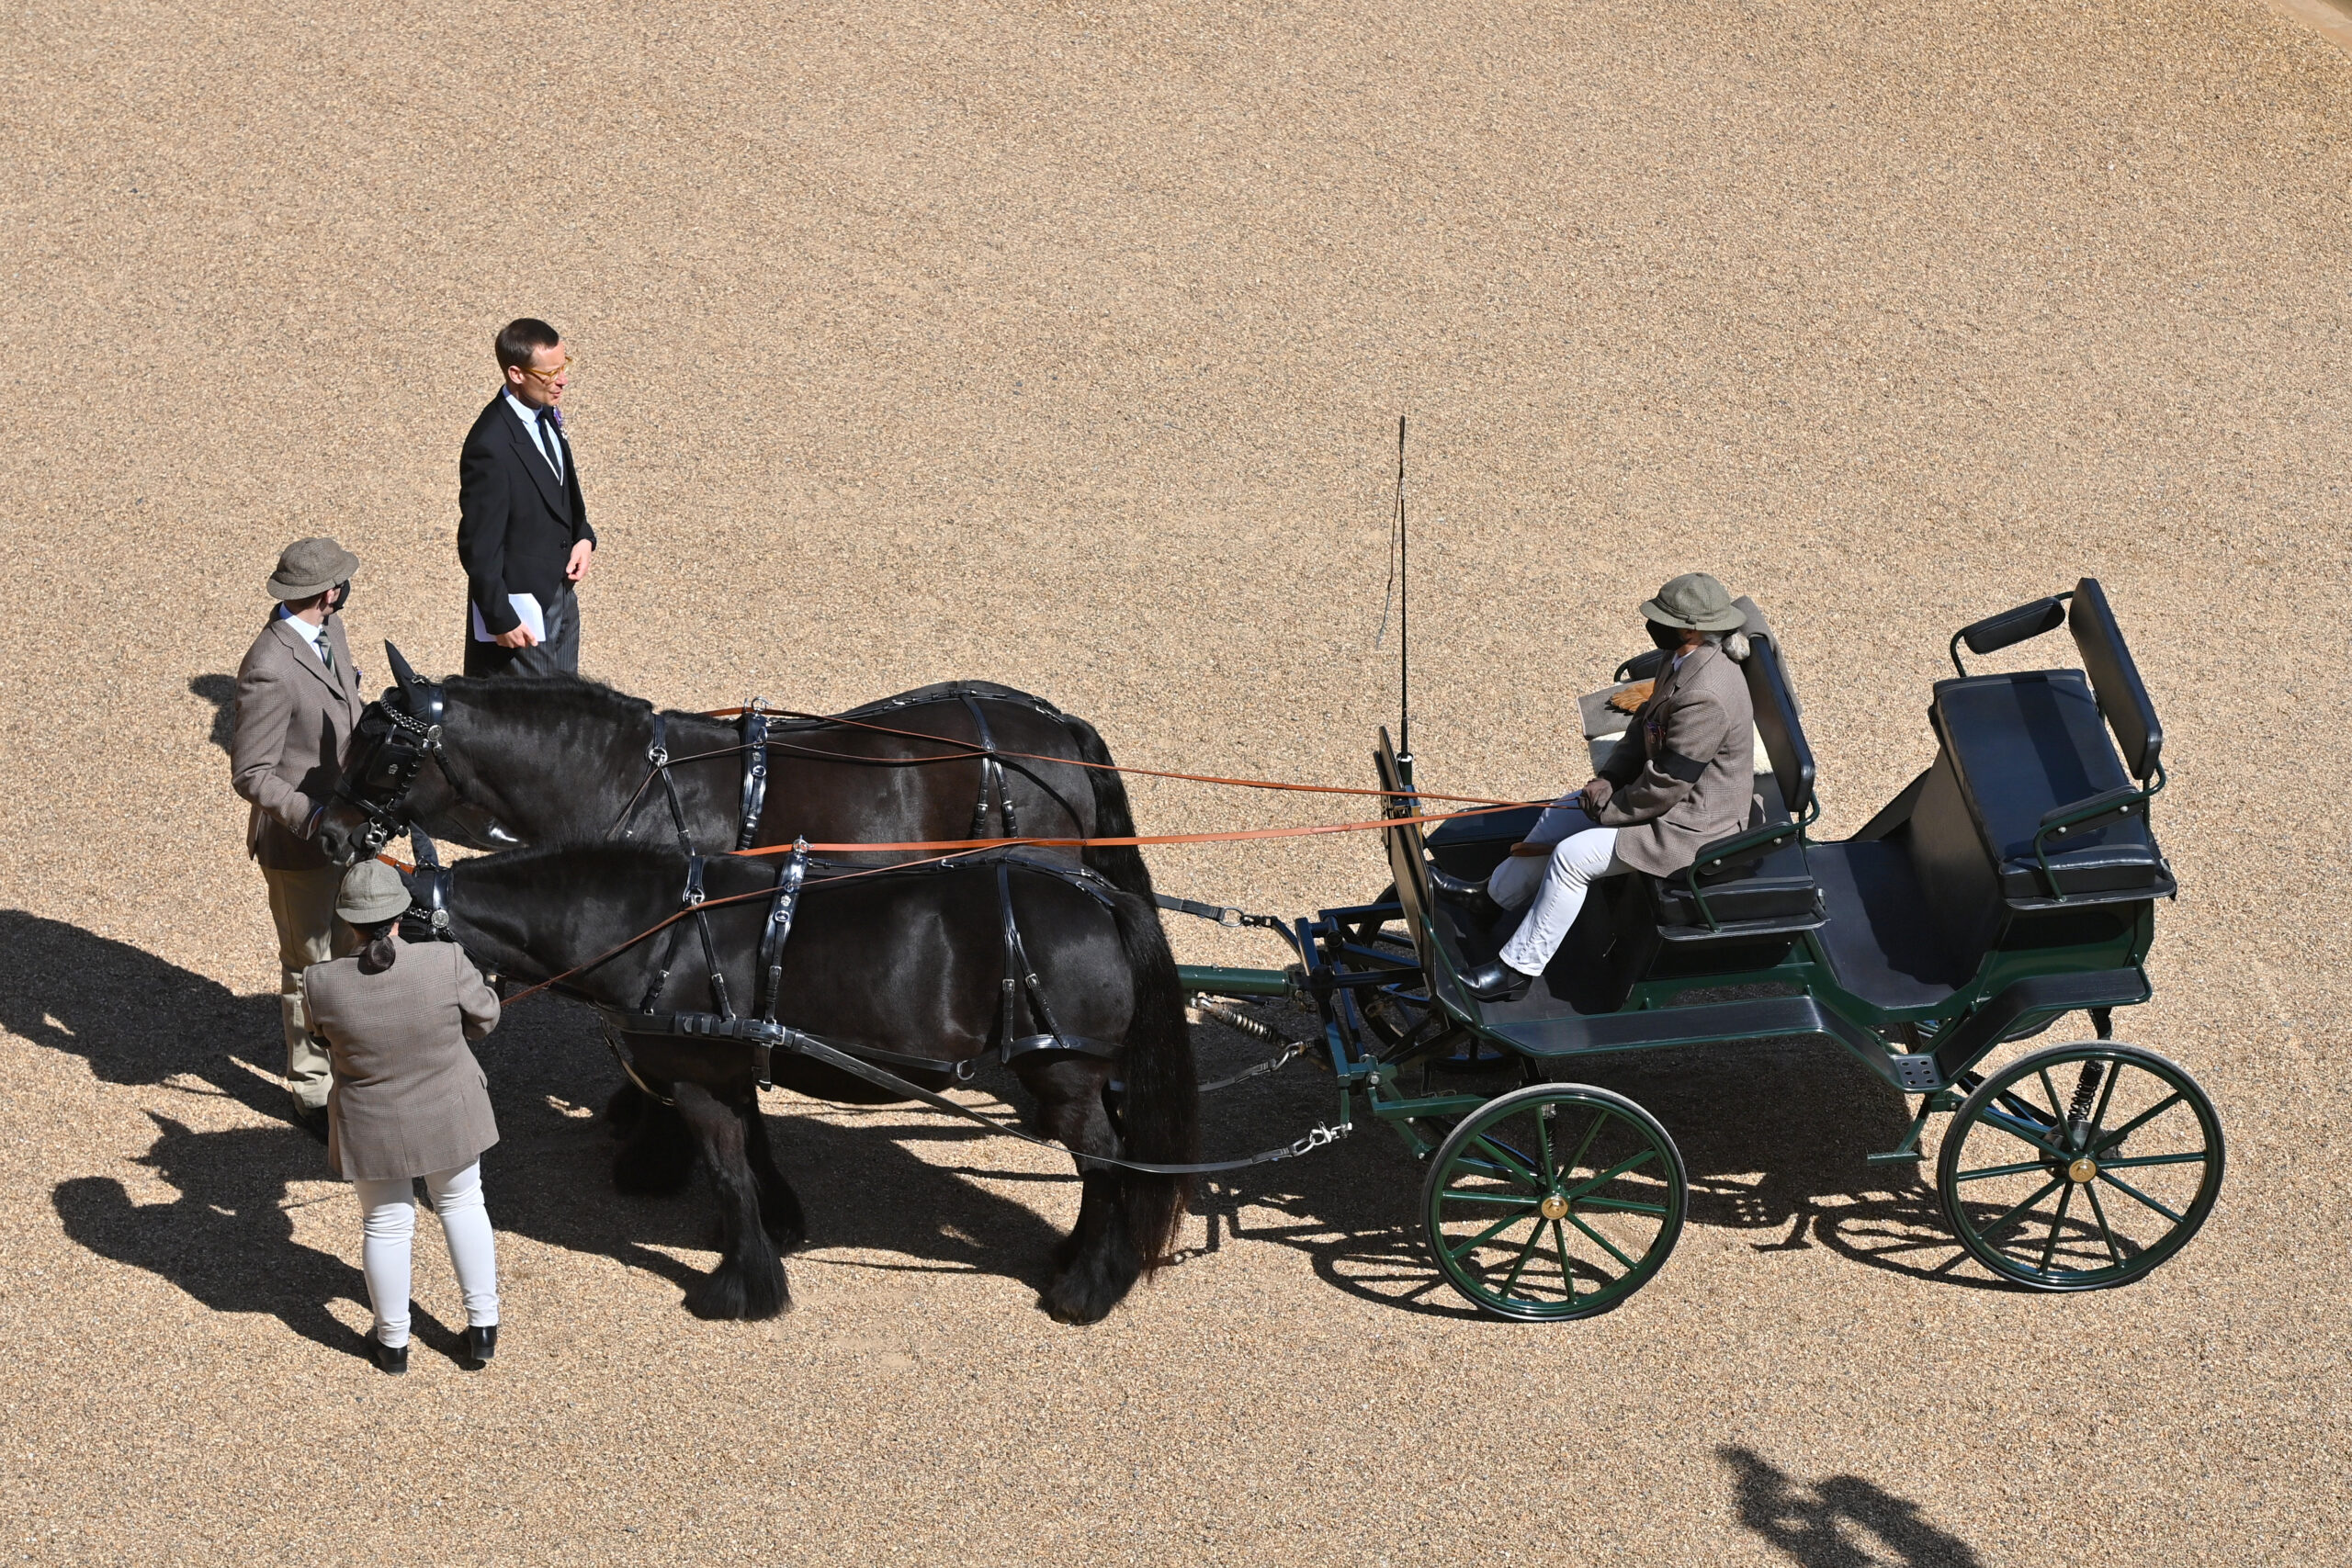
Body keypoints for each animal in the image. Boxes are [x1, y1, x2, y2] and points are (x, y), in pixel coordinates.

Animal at [427, 846, 1194, 1325]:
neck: (656, 930)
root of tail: (1100, 894)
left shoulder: (698, 1082)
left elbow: (729, 1173)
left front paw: (739, 1286)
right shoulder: (732, 1072)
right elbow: (754, 1154)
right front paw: (777, 1232)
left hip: (1063, 1077)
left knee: (1103, 1163)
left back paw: (1088, 1285)